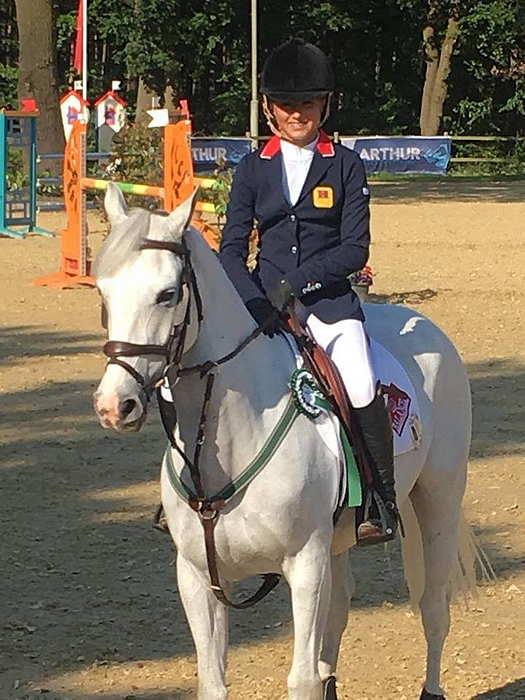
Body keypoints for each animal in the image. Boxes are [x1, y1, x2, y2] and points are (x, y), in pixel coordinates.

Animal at [92, 183, 476, 696]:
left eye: (167, 294)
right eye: (103, 292)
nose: (115, 406)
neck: (228, 443)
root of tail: (421, 322)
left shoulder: (304, 564)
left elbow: (301, 679)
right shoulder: (196, 577)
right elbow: (214, 680)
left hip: (438, 498)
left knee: (433, 607)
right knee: (340, 609)